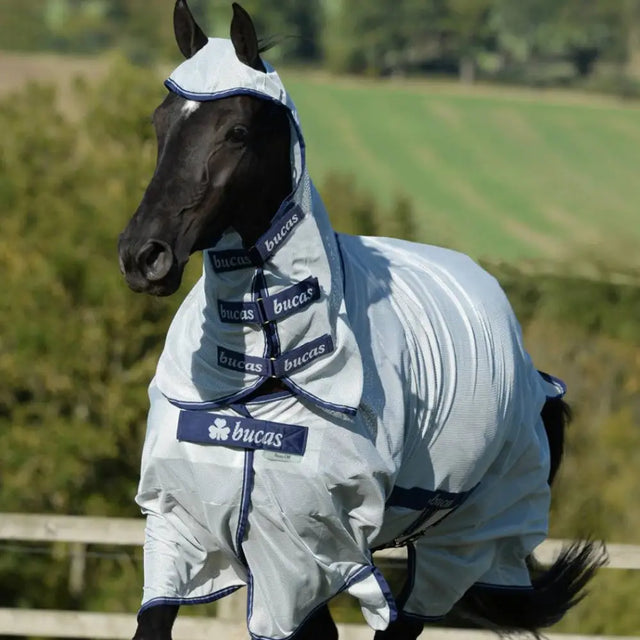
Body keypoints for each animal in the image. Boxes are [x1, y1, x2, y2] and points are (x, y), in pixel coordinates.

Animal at [118, 2, 605, 639]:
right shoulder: (183, 531)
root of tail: (532, 372)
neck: (265, 377)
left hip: (455, 547)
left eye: (237, 131)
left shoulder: (306, 551)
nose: (142, 255)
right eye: (161, 123)